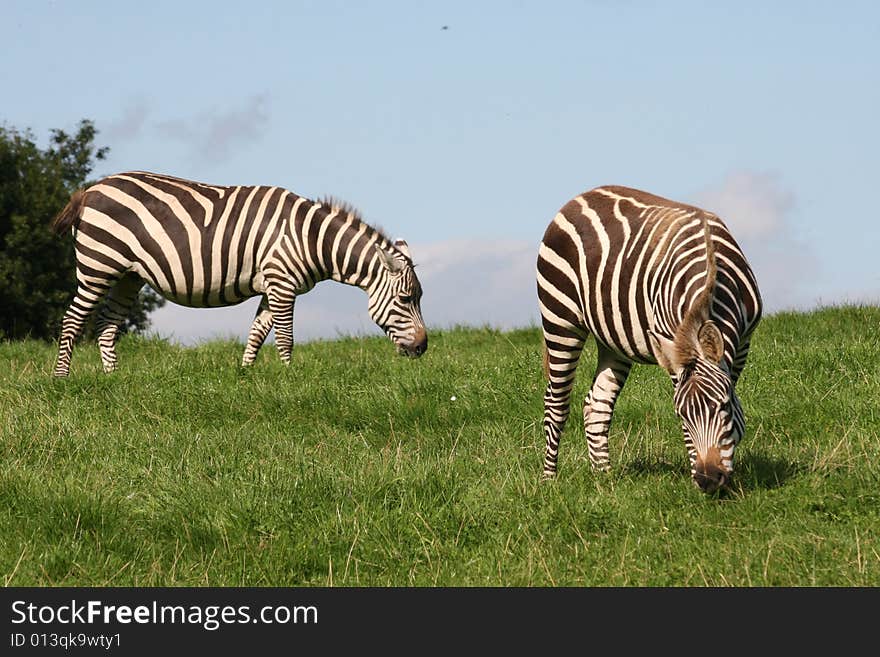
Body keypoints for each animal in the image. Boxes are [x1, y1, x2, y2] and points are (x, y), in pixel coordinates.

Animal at [51, 169, 430, 374]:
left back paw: (112, 378)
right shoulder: (282, 282)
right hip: (98, 264)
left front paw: (246, 375)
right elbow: (285, 337)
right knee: (73, 319)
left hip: (129, 275)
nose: (424, 348)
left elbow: (257, 333)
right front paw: (290, 378)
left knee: (106, 324)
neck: (309, 238)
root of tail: (92, 188)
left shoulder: (273, 285)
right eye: (406, 299)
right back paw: (62, 378)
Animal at [536, 184, 764, 492]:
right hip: (560, 320)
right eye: (681, 417)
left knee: (596, 404)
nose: (707, 480)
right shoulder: (673, 346)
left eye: (724, 406)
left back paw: (604, 477)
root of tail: (578, 198)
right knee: (556, 403)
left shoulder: (742, 343)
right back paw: (549, 479)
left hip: (613, 339)